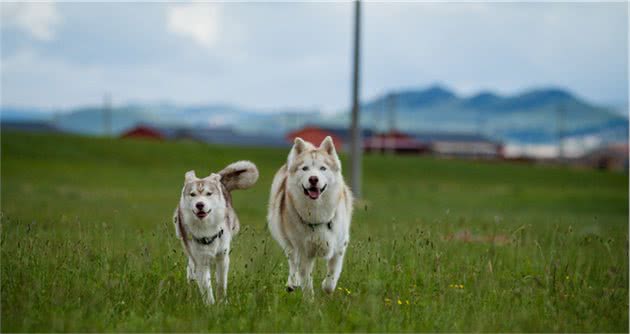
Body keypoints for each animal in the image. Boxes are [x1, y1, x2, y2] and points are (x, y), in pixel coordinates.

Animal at [173, 162, 260, 306]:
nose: (200, 204)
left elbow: (221, 284)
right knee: (190, 266)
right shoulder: (201, 261)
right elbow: (206, 288)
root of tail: (218, 178)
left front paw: (222, 303)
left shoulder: (222, 257)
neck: (206, 228)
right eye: (192, 194)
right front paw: (210, 306)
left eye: (209, 193)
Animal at [268, 137, 356, 296]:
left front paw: (326, 288)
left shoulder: (340, 245)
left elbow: (332, 276)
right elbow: (306, 282)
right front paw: (309, 300)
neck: (316, 211)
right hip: (287, 242)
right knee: (292, 261)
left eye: (323, 168)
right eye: (305, 168)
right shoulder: (303, 252)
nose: (313, 179)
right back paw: (292, 283)